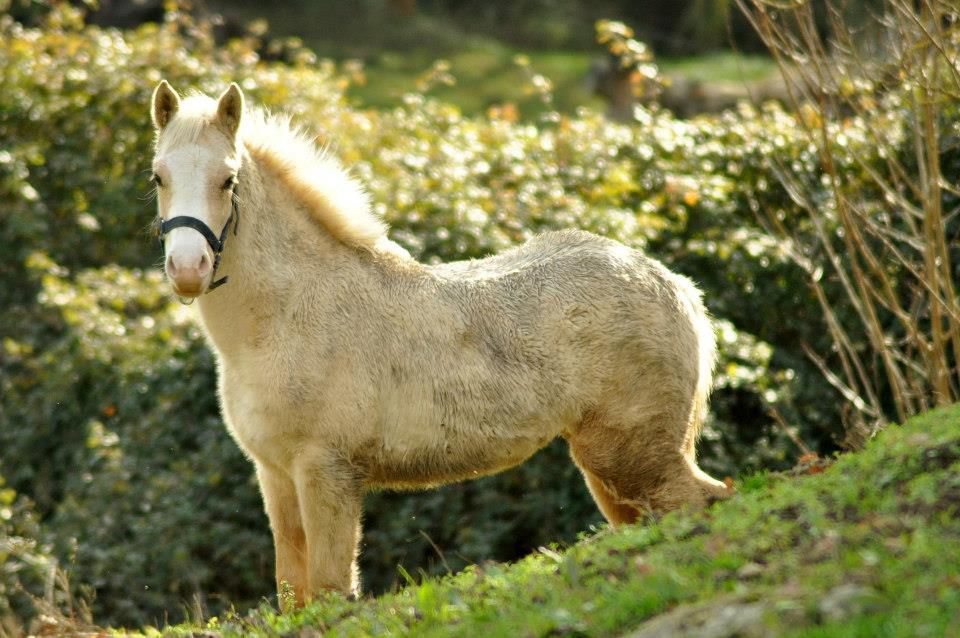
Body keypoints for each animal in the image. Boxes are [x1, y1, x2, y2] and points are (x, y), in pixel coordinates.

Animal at [148, 81, 732, 605]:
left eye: (228, 180)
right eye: (158, 176)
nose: (187, 270)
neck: (282, 318)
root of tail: (677, 288)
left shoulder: (326, 471)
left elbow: (332, 590)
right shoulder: (275, 475)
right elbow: (294, 591)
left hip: (631, 455)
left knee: (704, 501)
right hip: (607, 465)